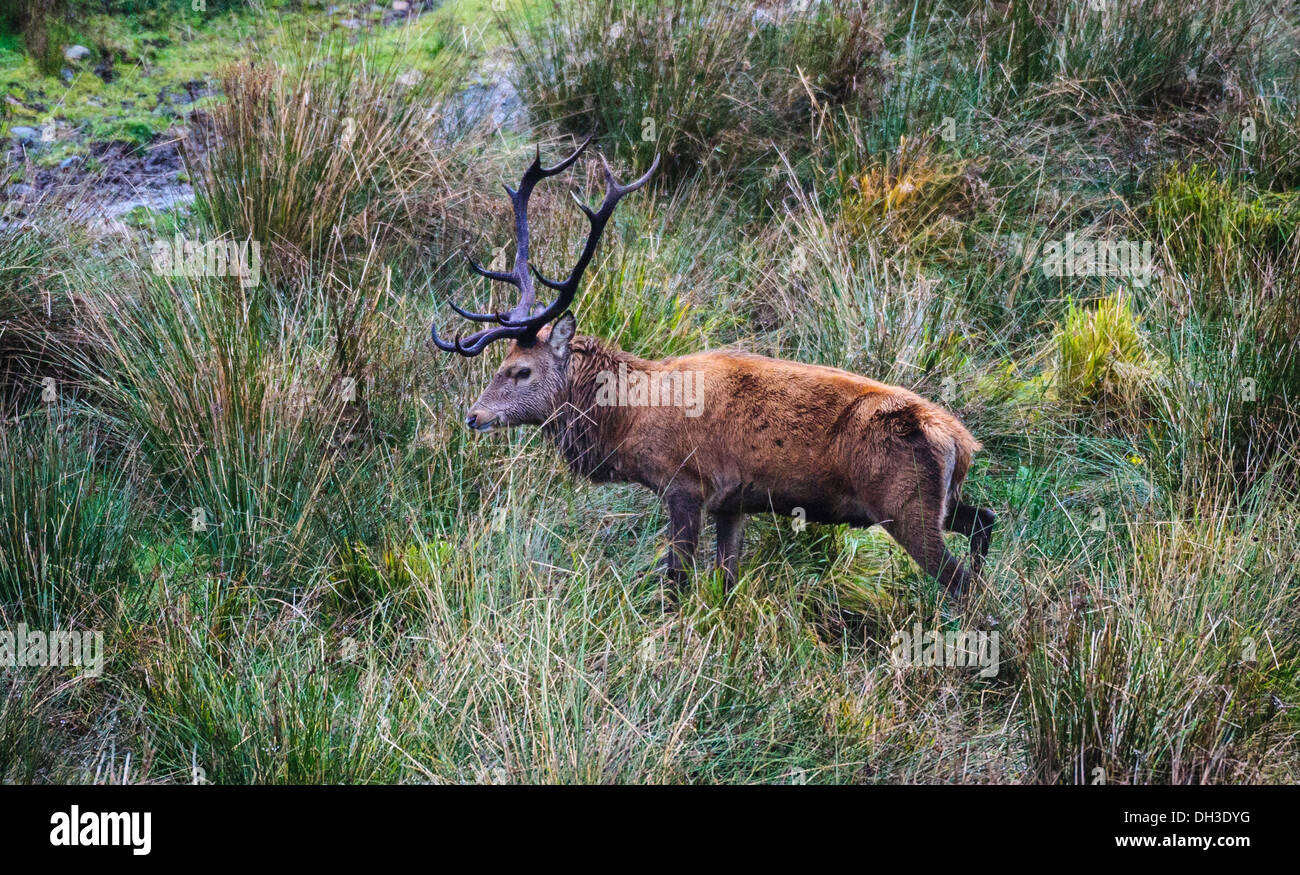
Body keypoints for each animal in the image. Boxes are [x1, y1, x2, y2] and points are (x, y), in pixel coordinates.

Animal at [432, 137, 995, 602]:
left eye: (522, 370)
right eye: (501, 363)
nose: (474, 417)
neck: (628, 419)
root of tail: (963, 442)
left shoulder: (686, 484)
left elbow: (677, 578)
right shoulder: (733, 500)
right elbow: (726, 577)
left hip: (905, 504)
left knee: (959, 580)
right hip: (939, 499)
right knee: (984, 519)